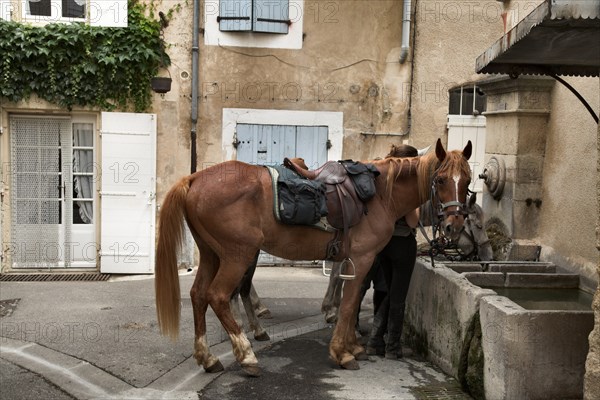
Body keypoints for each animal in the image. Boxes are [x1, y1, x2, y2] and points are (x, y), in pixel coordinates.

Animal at [155, 138, 474, 376]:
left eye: (468, 180)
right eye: (440, 179)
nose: (454, 225)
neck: (381, 195)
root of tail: (195, 178)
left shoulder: (359, 261)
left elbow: (350, 301)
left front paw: (353, 346)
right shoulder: (363, 259)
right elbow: (349, 305)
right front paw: (342, 353)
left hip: (212, 254)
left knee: (198, 295)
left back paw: (208, 358)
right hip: (237, 256)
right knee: (219, 296)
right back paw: (247, 356)